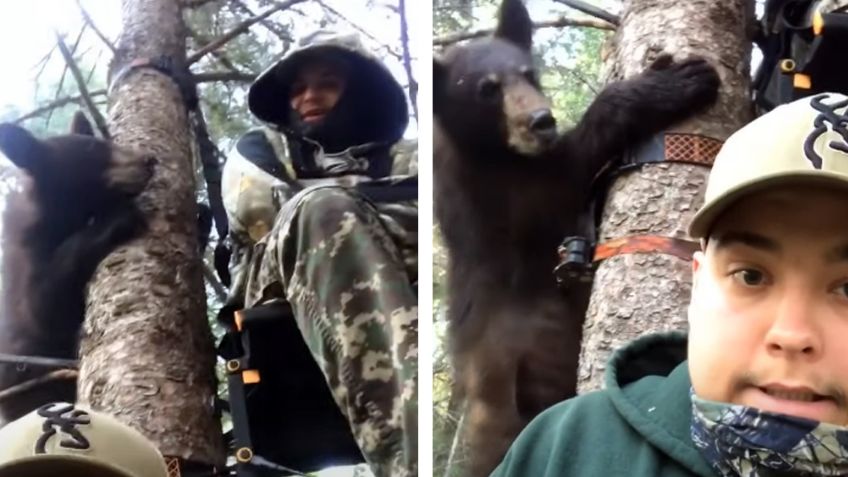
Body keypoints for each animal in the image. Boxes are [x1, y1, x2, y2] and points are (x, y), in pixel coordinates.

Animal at [0, 112, 154, 424]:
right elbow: (44, 309)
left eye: (105, 141)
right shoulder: (23, 258)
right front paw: (119, 218)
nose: (149, 160)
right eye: (91, 150)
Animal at [433, 0, 721, 475]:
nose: (542, 120)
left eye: (528, 73)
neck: (490, 152)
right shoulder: (496, 201)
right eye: (486, 89)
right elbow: (566, 178)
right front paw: (672, 81)